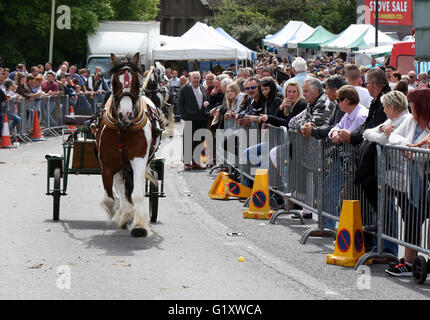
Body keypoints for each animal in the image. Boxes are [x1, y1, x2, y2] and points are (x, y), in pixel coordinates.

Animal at [95, 53, 161, 238]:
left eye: (137, 82)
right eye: (114, 82)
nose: (126, 114)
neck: (123, 129)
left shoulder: (139, 159)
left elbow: (137, 193)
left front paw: (139, 225)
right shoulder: (107, 163)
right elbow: (110, 198)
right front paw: (120, 212)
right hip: (119, 165)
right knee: (120, 187)